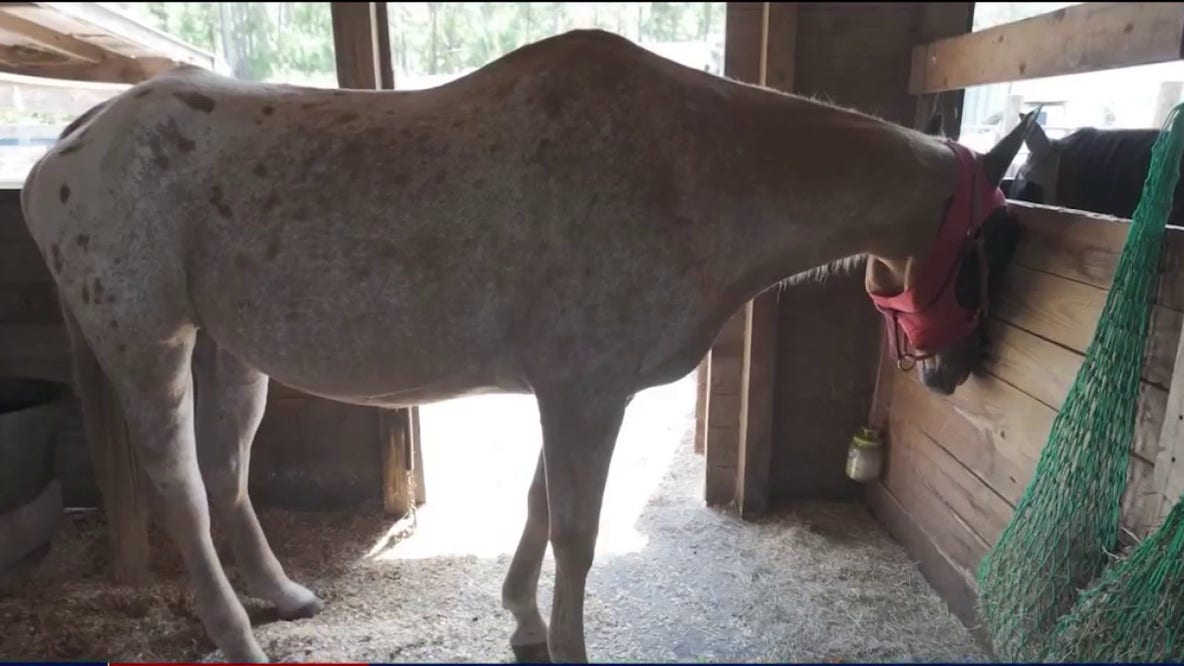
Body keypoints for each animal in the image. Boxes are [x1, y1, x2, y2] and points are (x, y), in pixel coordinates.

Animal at [20, 29, 1035, 663]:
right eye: (984, 250)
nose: (954, 372)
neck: (693, 169)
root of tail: (69, 146)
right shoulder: (587, 394)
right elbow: (576, 536)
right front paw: (565, 639)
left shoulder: (572, 392)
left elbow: (543, 508)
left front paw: (521, 621)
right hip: (151, 351)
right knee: (186, 497)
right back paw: (239, 638)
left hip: (233, 354)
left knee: (227, 480)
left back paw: (287, 596)